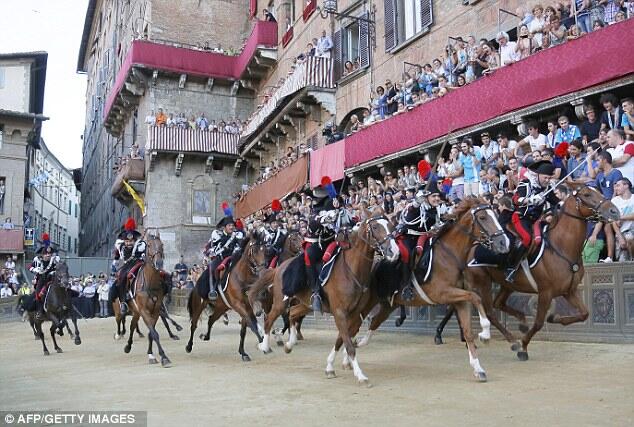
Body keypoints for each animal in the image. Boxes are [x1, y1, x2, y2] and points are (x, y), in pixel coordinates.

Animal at [120, 231, 170, 368]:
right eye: (149, 245)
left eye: (162, 244)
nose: (159, 263)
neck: (150, 282)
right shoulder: (144, 311)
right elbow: (154, 333)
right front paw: (163, 357)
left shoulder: (156, 310)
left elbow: (151, 333)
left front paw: (152, 354)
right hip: (136, 310)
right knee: (132, 326)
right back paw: (127, 346)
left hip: (137, 312)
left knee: (133, 325)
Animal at [186, 234, 268, 362]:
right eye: (254, 250)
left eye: (264, 249)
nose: (263, 267)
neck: (242, 277)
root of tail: (196, 285)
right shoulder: (239, 305)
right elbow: (252, 323)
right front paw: (262, 343)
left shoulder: (247, 306)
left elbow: (244, 330)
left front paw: (243, 352)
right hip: (199, 306)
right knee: (194, 325)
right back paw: (189, 346)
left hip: (221, 308)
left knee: (211, 320)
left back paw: (205, 336)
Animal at [246, 216, 398, 386]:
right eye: (376, 227)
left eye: (391, 226)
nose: (394, 251)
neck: (351, 270)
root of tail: (279, 269)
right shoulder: (340, 313)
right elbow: (349, 345)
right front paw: (361, 376)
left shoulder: (354, 314)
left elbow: (341, 340)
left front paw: (330, 367)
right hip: (281, 302)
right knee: (270, 319)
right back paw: (265, 346)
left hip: (306, 305)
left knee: (293, 314)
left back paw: (289, 344)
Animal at [354, 199, 512, 382]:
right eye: (482, 217)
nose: (504, 243)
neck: (449, 254)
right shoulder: (442, 293)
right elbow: (476, 297)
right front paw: (485, 334)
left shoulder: (459, 300)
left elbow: (468, 330)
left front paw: (478, 368)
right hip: (368, 302)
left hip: (388, 304)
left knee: (373, 322)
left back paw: (360, 344)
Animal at [464, 185, 616, 362]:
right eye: (587, 194)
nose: (614, 211)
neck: (561, 246)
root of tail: (473, 244)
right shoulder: (546, 292)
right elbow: (538, 323)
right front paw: (523, 348)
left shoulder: (569, 291)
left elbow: (584, 313)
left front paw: (554, 318)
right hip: (483, 283)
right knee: (489, 312)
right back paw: (512, 341)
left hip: (507, 284)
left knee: (498, 303)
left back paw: (521, 323)